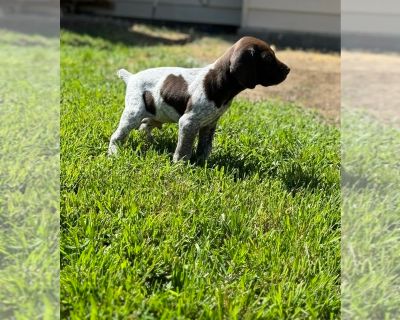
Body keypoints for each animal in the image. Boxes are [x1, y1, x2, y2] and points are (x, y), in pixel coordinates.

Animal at [108, 37, 290, 162]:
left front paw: (203, 162)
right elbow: (184, 149)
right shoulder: (189, 123)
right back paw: (114, 152)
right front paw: (180, 165)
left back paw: (152, 143)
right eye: (268, 59)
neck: (219, 82)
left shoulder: (209, 124)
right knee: (118, 135)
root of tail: (131, 77)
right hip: (133, 114)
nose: (288, 69)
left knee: (144, 127)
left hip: (154, 114)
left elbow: (205, 146)